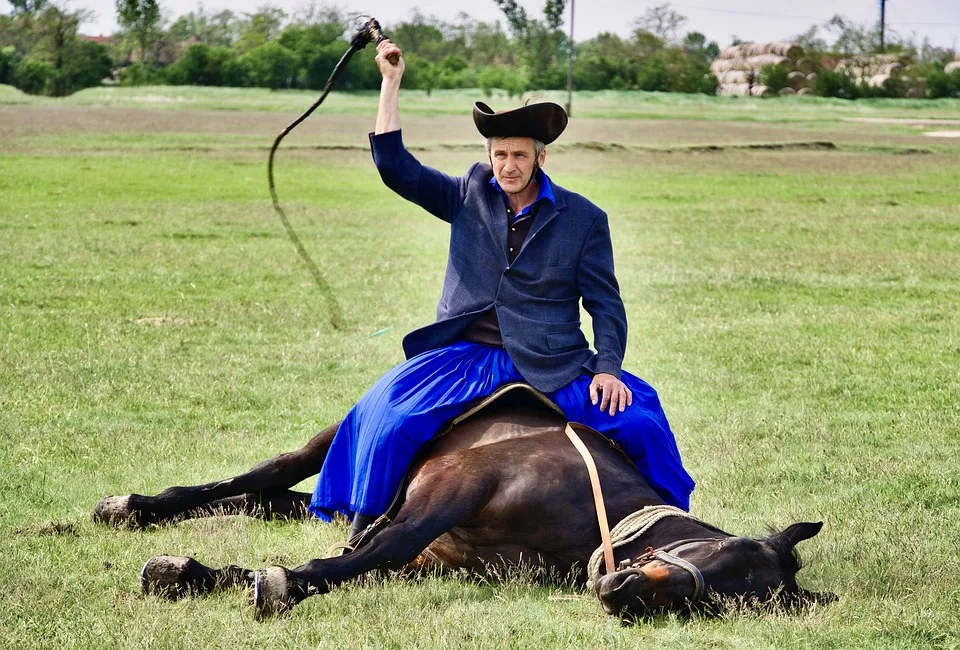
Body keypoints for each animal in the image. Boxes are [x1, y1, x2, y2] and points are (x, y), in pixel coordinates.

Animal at [99, 382, 832, 616]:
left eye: (712, 604)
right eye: (718, 558)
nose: (622, 594)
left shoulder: (434, 557)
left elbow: (360, 558)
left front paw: (193, 573)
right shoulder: (453, 489)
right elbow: (372, 549)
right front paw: (280, 582)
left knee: (276, 500)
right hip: (345, 437)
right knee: (264, 477)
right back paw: (133, 506)